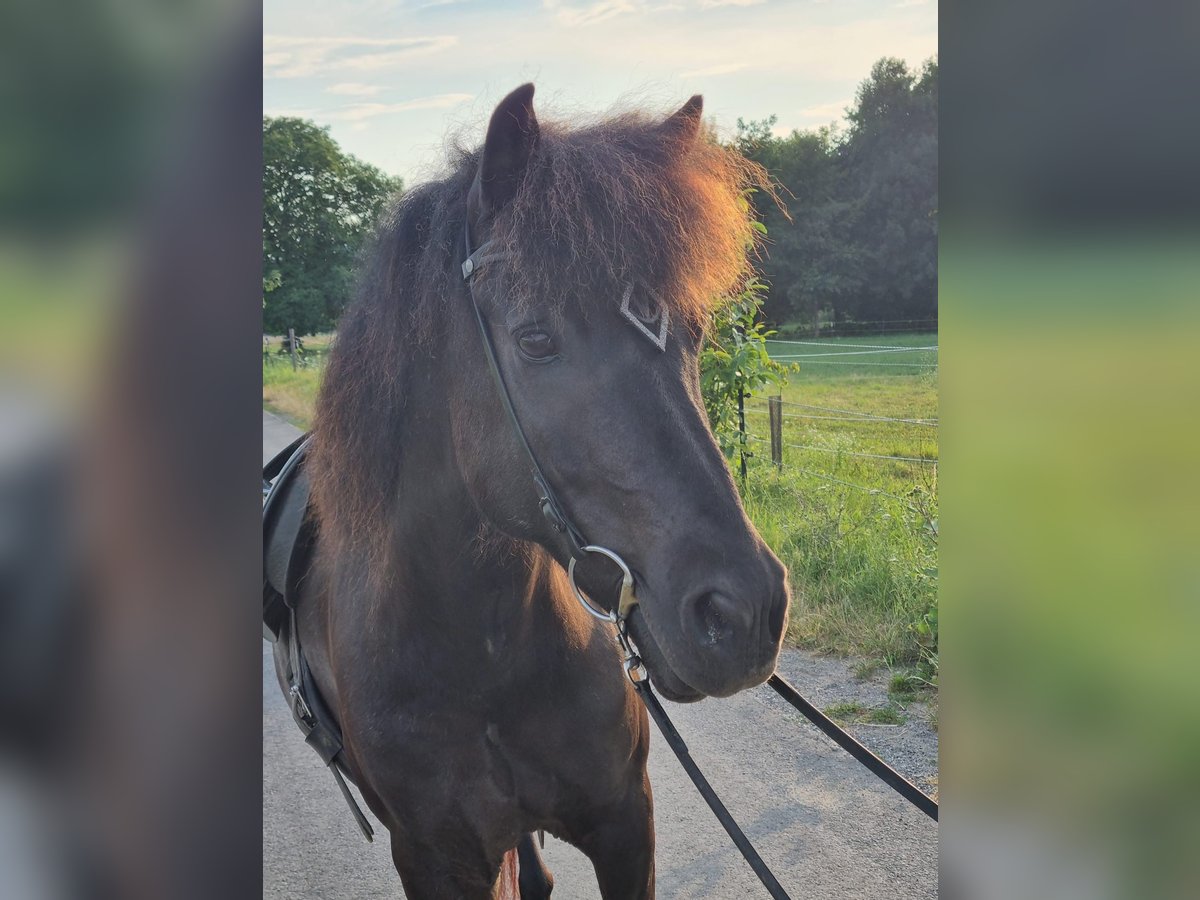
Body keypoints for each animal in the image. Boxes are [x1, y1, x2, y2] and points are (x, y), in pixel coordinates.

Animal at [276, 82, 792, 897]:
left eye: (696, 331)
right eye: (536, 340)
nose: (745, 612)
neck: (487, 655)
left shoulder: (626, 825)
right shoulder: (437, 862)